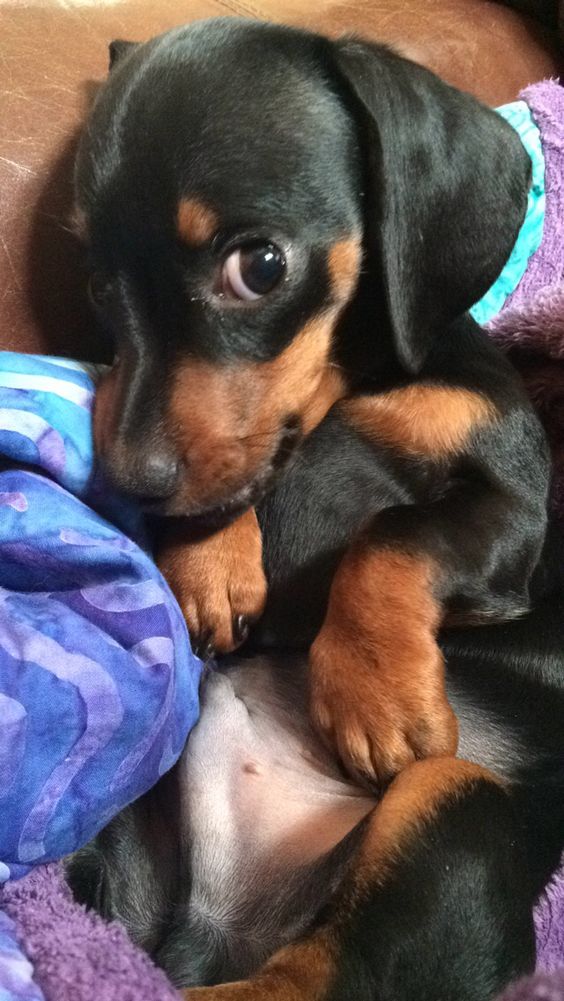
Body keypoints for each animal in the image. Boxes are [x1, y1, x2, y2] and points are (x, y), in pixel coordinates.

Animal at [77, 17, 548, 780]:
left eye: (260, 266)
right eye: (96, 284)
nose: (130, 484)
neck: (356, 376)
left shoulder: (516, 508)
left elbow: (397, 532)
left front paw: (375, 688)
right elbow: (241, 472)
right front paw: (209, 559)